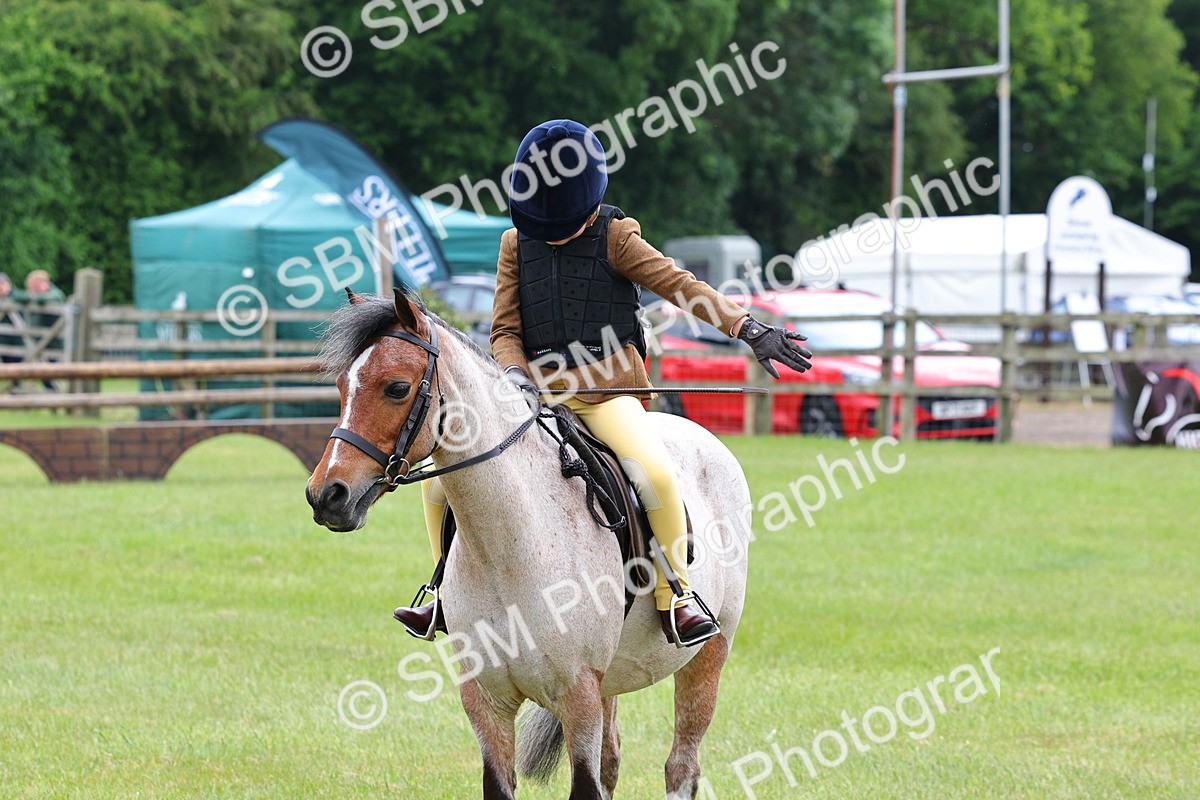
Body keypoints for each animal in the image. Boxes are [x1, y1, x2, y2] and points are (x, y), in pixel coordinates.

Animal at [306, 290, 753, 800]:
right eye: (342, 385)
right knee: (613, 760)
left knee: (682, 766)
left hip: (707, 657)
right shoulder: (487, 700)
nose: (326, 495)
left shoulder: (579, 695)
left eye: (396, 388)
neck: (507, 549)